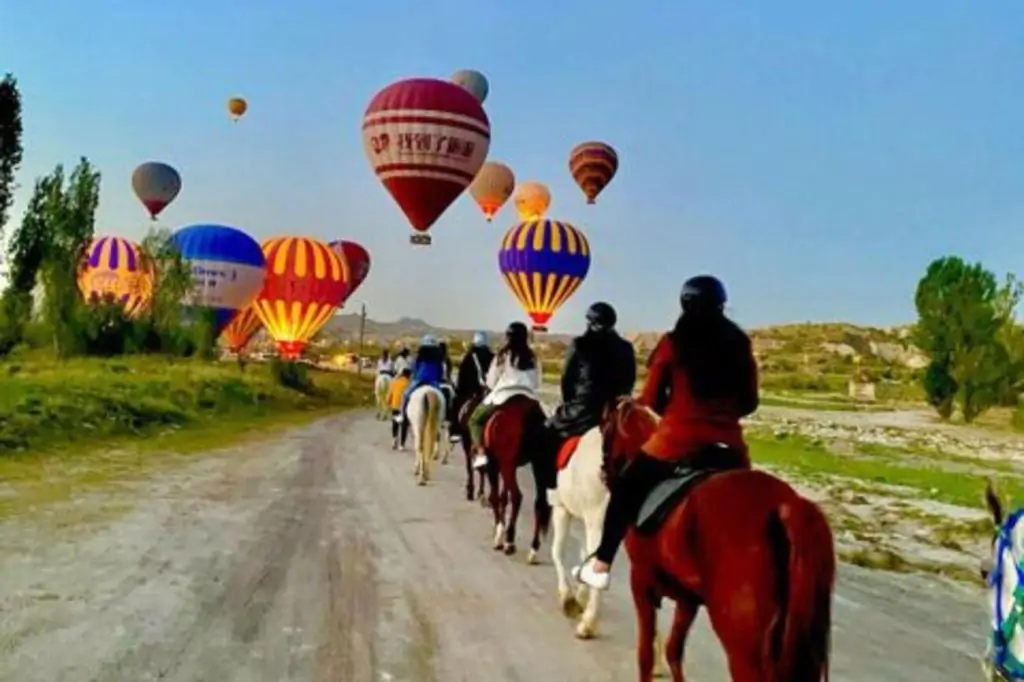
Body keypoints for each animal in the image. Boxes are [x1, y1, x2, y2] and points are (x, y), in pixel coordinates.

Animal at [483, 391, 557, 561]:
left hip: (506, 463)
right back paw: (533, 550)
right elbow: (504, 497)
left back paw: (509, 542)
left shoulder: (494, 463)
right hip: (539, 465)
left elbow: (496, 497)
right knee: (540, 503)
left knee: (517, 496)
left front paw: (499, 535)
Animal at [598, 399, 831, 679]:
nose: (603, 473)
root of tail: (787, 507)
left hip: (744, 650)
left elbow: (646, 654)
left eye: (603, 427)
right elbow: (673, 650)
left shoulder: (641, 581)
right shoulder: (687, 599)